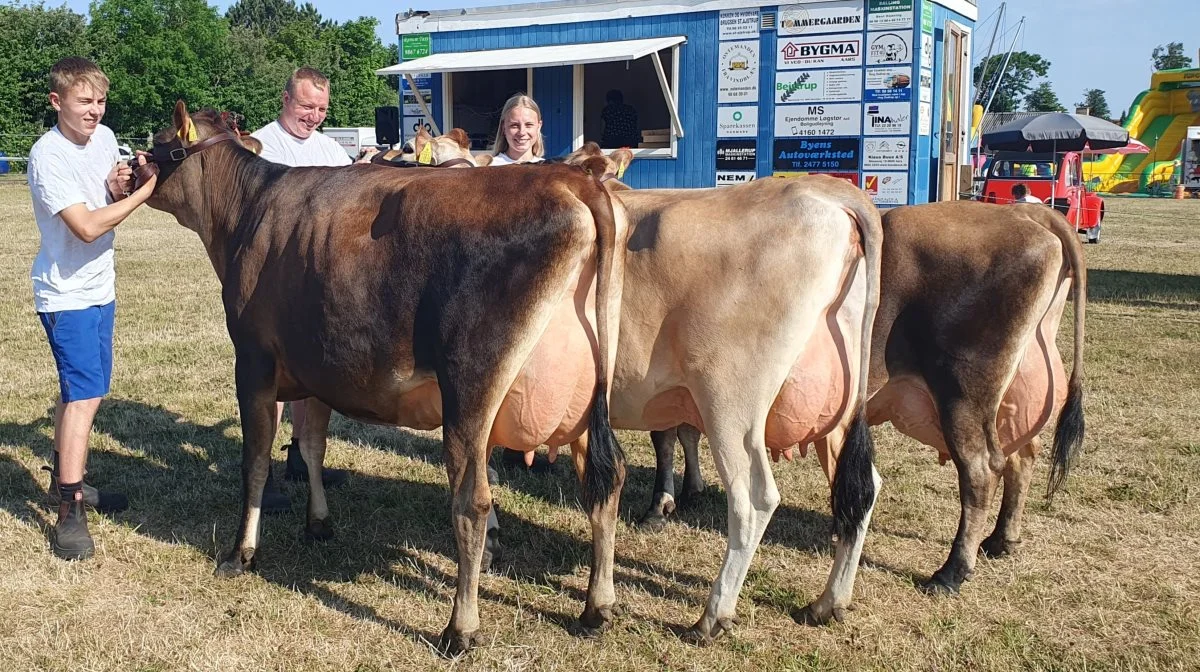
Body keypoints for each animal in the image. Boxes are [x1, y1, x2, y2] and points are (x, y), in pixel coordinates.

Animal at [648, 199, 1089, 597]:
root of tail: (1027, 214)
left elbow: (665, 436)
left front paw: (661, 503)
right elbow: (681, 431)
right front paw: (687, 490)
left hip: (964, 392)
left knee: (981, 471)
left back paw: (951, 571)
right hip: (1009, 397)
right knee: (1022, 455)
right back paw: (1001, 540)